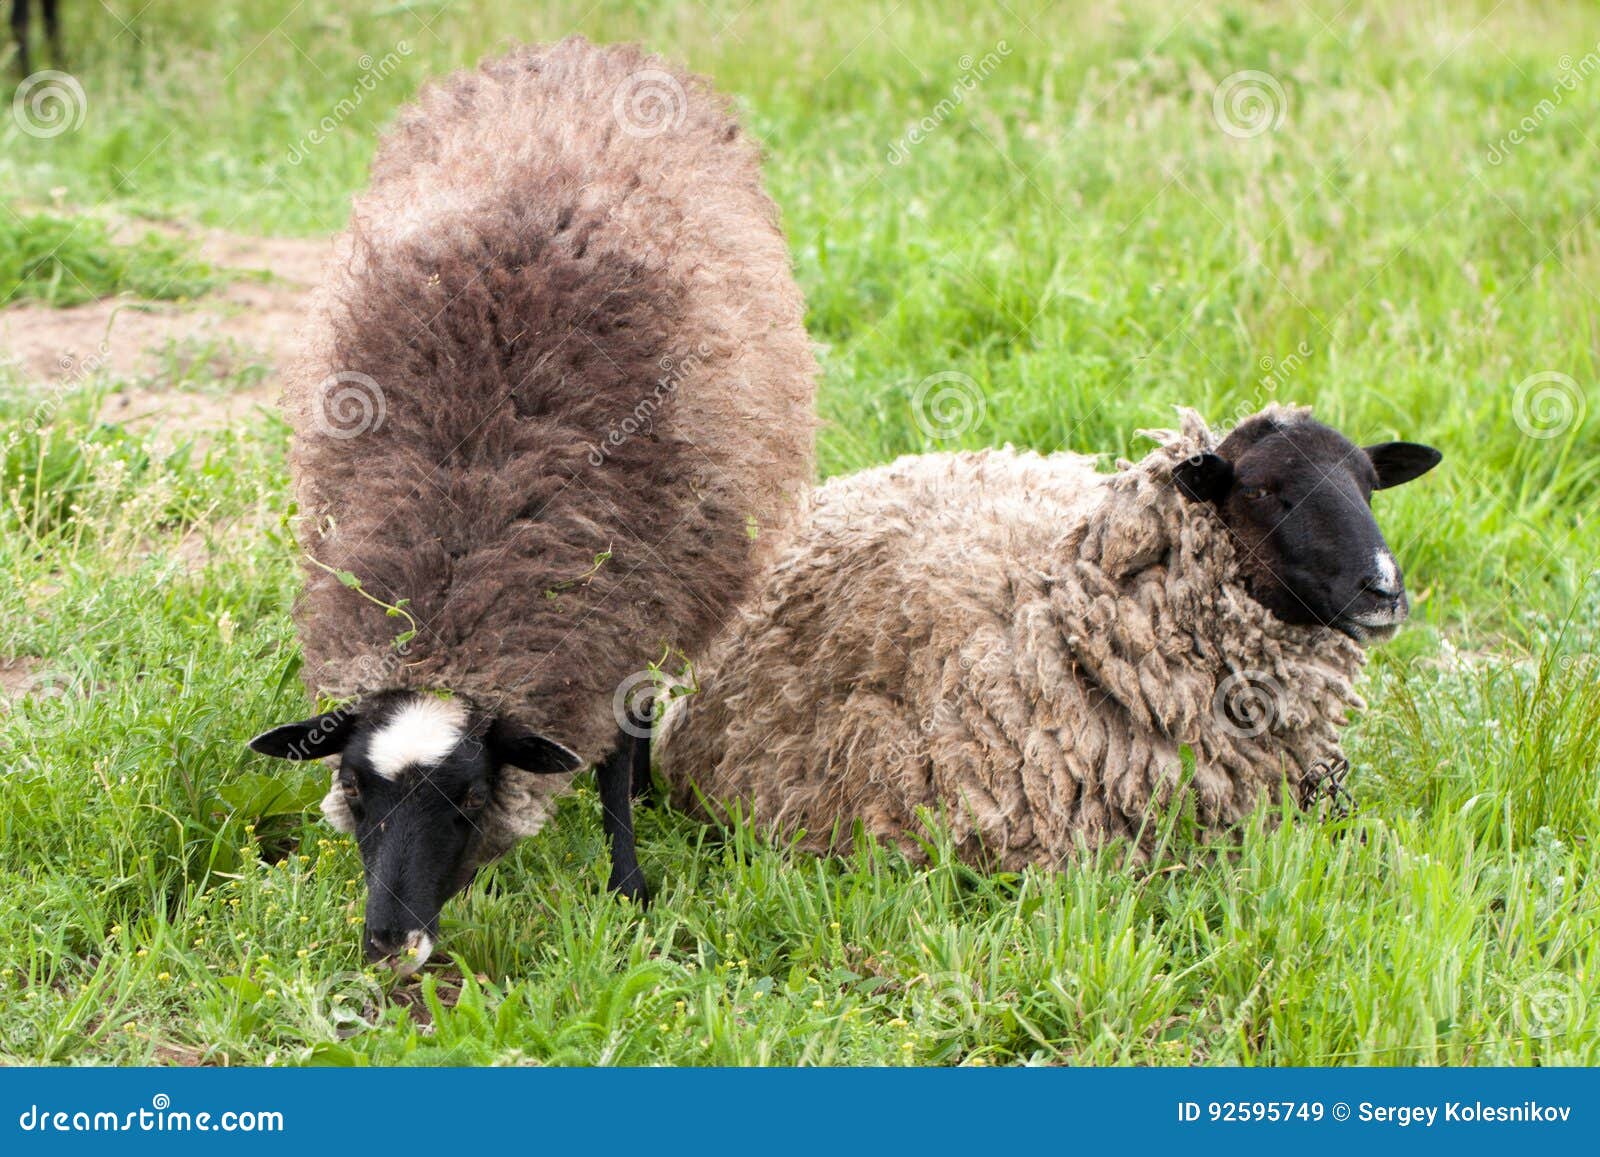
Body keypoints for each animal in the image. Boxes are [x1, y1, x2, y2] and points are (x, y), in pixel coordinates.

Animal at [245, 37, 816, 971]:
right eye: (354, 788)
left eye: (473, 797)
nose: (390, 940)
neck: (463, 527)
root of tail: (584, 50)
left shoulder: (627, 605)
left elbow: (615, 753)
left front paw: (629, 884)